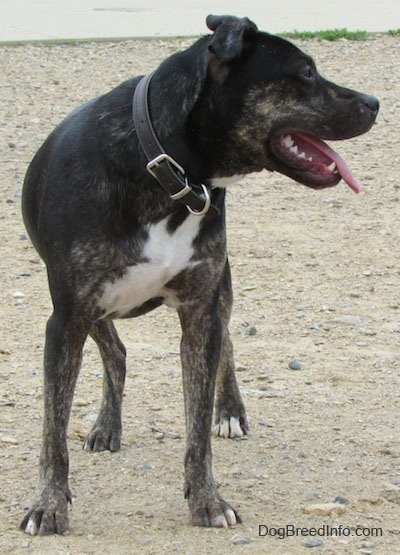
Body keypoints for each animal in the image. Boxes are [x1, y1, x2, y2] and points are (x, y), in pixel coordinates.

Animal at [21, 14, 378, 536]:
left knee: (223, 341)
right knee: (116, 352)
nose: (375, 102)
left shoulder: (199, 309)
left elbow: (197, 426)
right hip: (91, 306)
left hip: (217, 292)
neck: (168, 169)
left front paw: (207, 498)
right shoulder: (66, 317)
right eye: (306, 73)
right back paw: (108, 425)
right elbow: (53, 430)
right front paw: (49, 505)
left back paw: (229, 411)